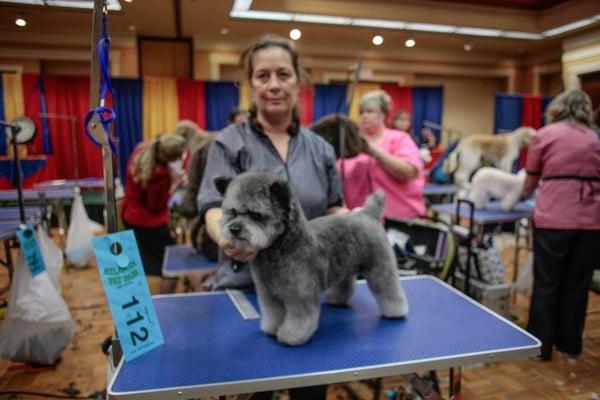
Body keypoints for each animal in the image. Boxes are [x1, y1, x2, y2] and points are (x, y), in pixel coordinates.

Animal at [216, 170, 408, 346]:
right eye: (232, 212)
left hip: (380, 267)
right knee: (345, 284)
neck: (282, 247)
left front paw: (292, 335)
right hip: (344, 267)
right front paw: (272, 328)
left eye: (255, 214)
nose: (234, 229)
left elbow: (300, 318)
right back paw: (337, 299)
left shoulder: (300, 294)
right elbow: (273, 313)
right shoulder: (269, 294)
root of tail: (368, 214)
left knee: (388, 288)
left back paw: (396, 310)